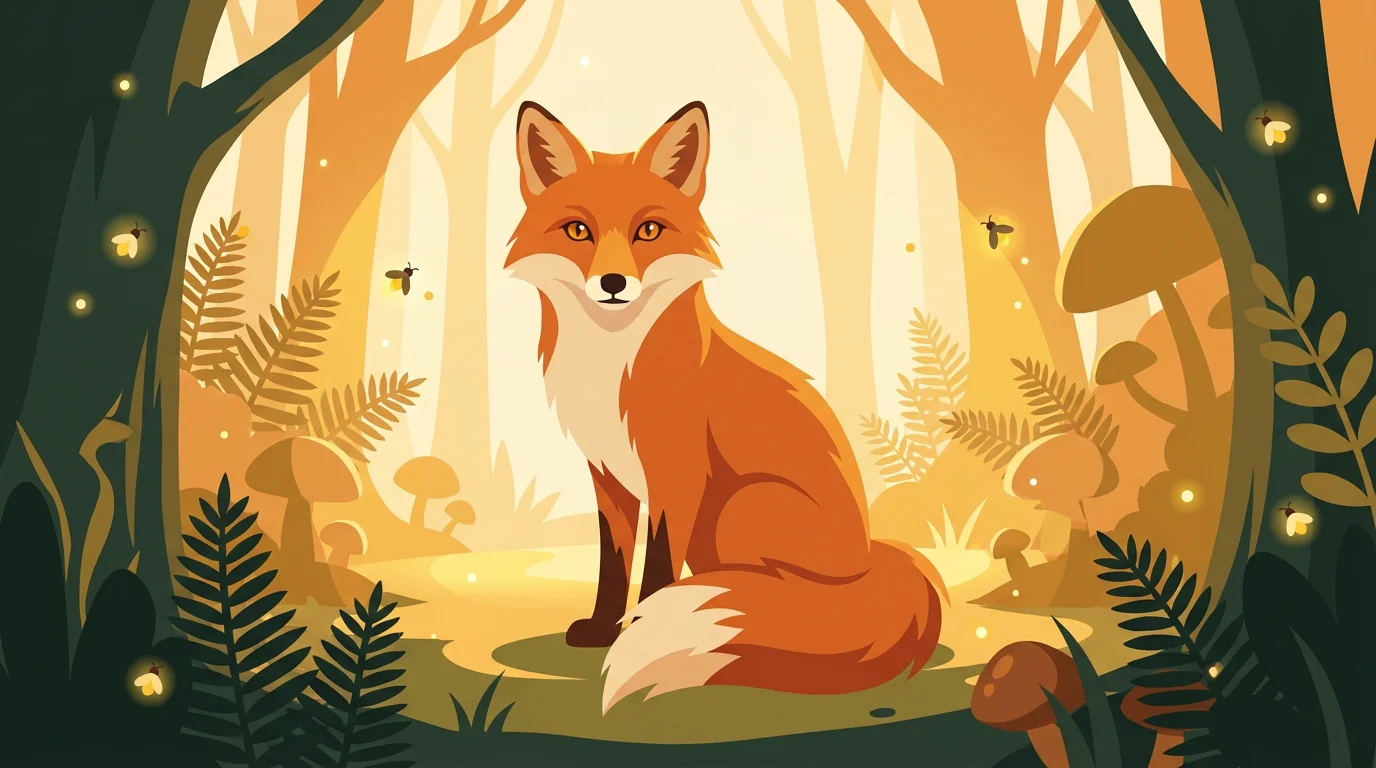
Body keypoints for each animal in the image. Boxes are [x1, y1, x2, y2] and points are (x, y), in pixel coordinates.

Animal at [504, 100, 947, 713]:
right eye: (578, 231)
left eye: (648, 231)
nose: (613, 282)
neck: (613, 359)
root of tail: (871, 559)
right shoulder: (608, 474)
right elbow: (613, 563)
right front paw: (601, 628)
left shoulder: (678, 470)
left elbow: (657, 564)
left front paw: (644, 626)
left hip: (740, 507)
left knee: (785, 600)